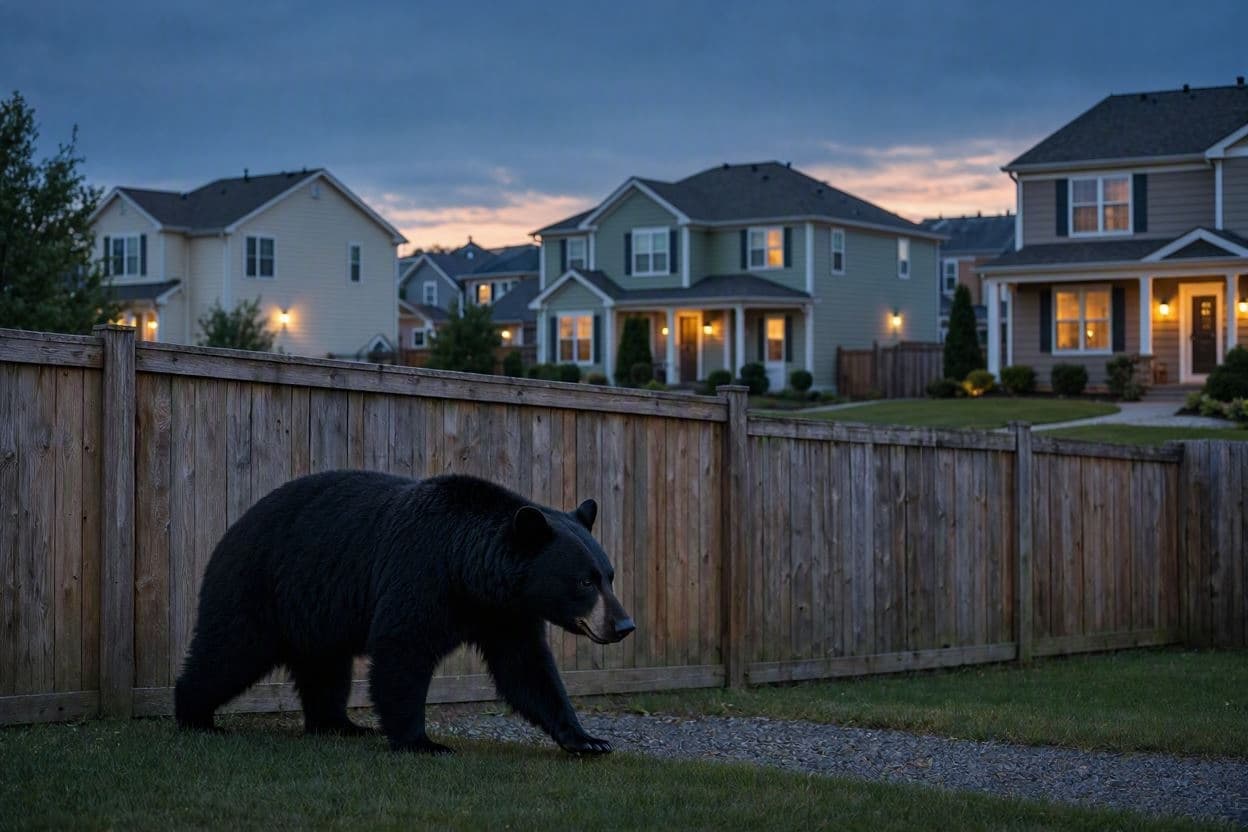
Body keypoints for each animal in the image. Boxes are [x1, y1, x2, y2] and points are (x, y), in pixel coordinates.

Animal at [174, 470, 635, 754]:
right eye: (584, 581)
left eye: (609, 575)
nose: (624, 624)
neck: (468, 571)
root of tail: (234, 526)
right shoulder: (420, 574)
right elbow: (403, 651)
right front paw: (423, 742)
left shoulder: (504, 614)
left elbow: (527, 670)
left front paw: (588, 739)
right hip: (261, 585)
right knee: (230, 650)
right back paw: (195, 715)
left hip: (316, 609)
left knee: (326, 669)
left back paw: (340, 724)